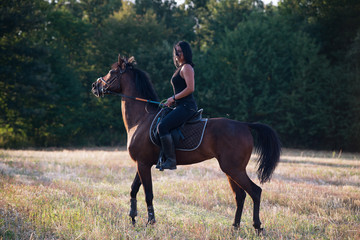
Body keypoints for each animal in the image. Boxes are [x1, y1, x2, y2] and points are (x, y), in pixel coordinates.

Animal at [90, 54, 282, 232]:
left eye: (111, 72)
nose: (95, 86)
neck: (141, 119)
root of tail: (244, 125)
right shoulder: (142, 163)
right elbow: (133, 189)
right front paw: (132, 218)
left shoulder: (143, 164)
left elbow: (148, 194)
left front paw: (150, 222)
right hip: (230, 169)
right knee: (240, 195)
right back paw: (234, 227)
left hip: (234, 168)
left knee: (255, 192)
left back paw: (257, 226)